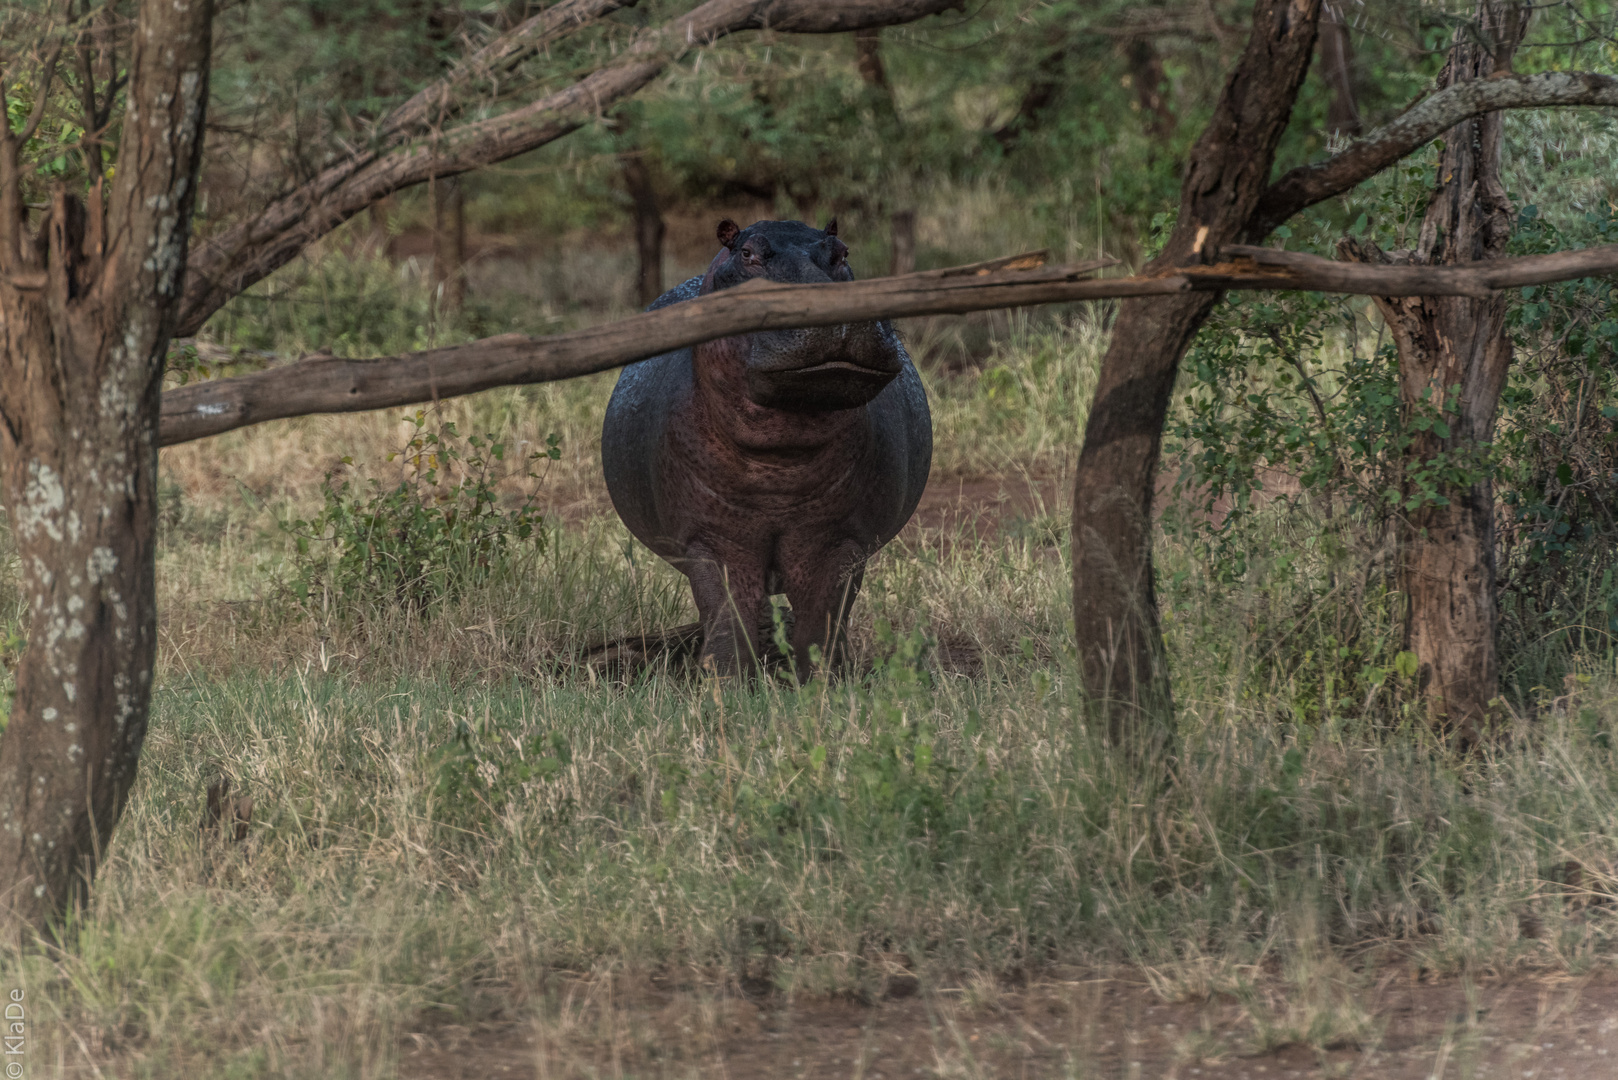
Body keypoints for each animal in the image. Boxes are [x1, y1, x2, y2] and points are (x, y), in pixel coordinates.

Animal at [605, 218, 938, 676]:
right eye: (747, 254)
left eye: (843, 251)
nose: (831, 310)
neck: (779, 459)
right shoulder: (714, 540)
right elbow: (727, 616)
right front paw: (724, 683)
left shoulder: (839, 539)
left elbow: (823, 620)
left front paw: (821, 681)